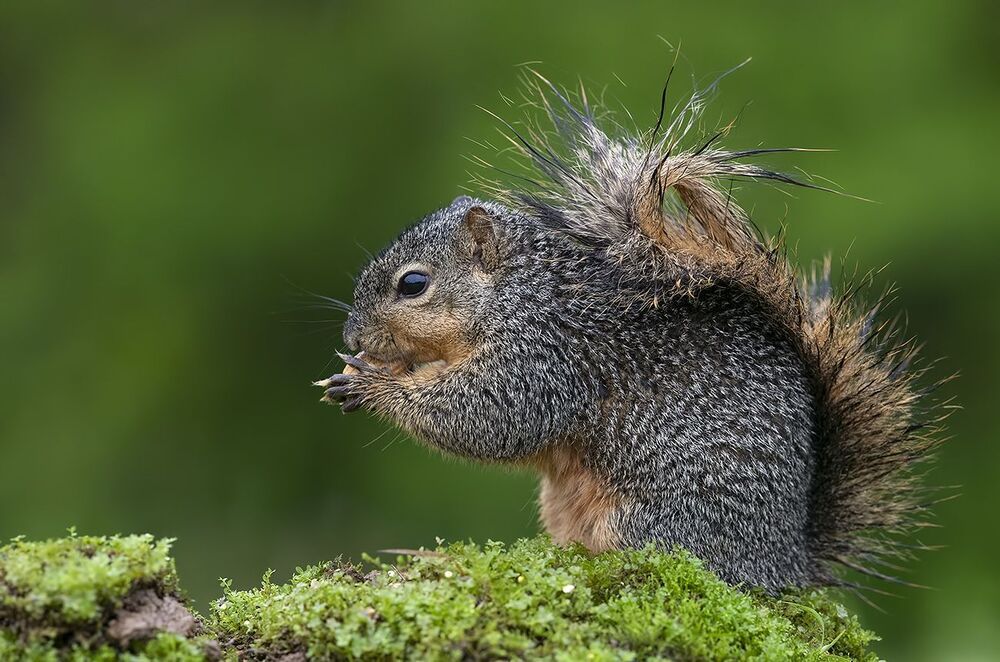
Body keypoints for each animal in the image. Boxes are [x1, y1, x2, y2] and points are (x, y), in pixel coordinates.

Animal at [315, 70, 948, 593]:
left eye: (413, 284)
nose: (353, 339)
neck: (517, 291)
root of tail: (784, 563)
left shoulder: (548, 353)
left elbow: (491, 416)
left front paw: (374, 385)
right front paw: (362, 373)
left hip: (654, 520)